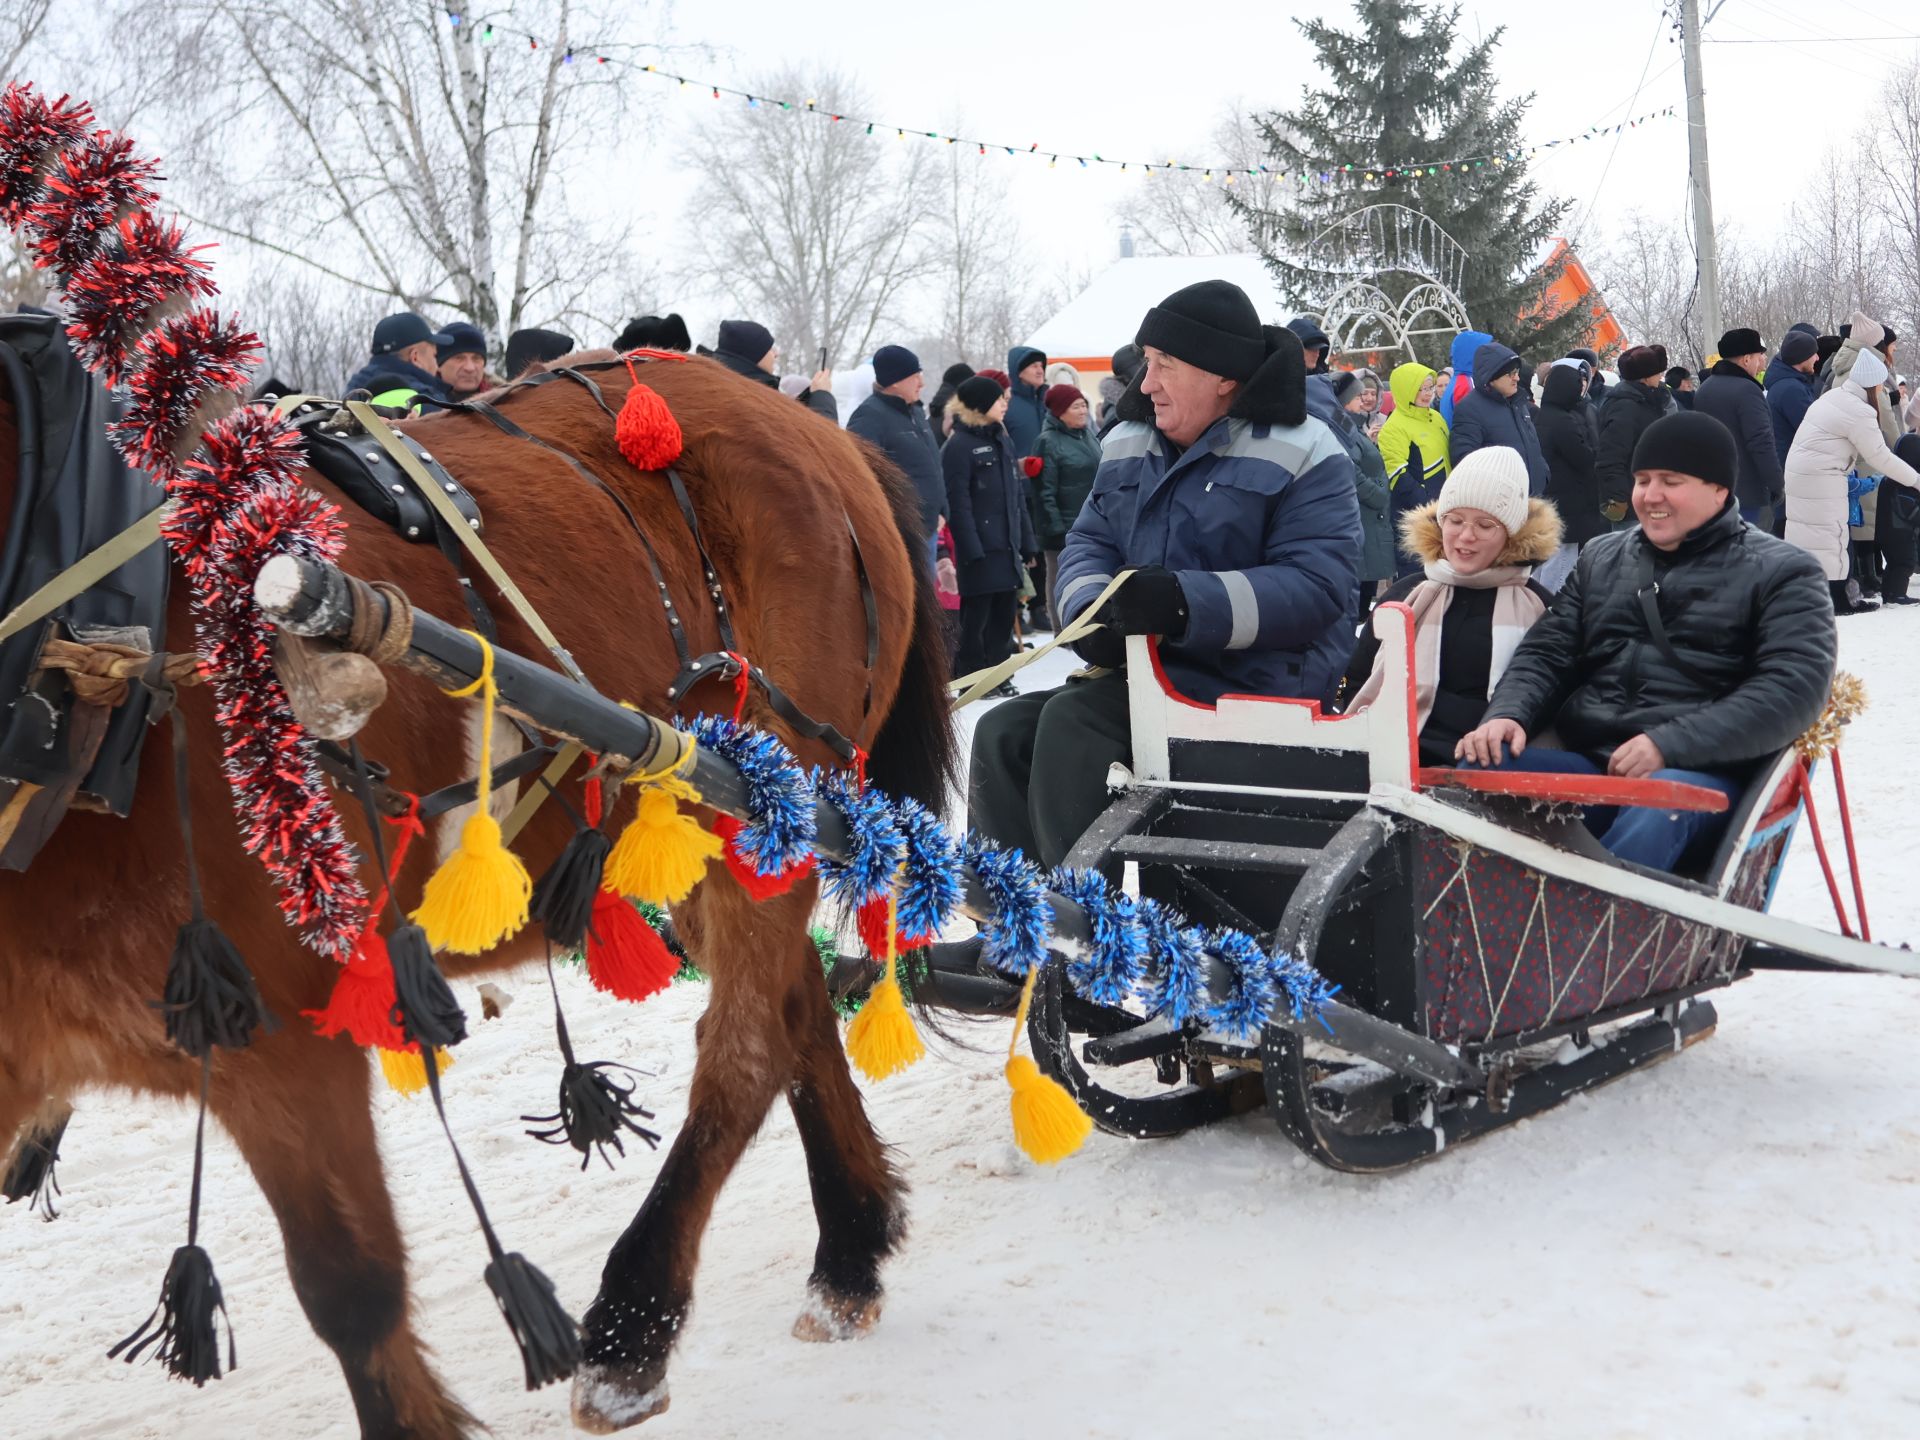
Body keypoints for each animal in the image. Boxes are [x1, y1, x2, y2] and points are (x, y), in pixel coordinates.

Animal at [0, 355, 960, 1436]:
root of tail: (822, 431)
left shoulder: (285, 1039)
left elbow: (351, 1289)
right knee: (795, 1010)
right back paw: (849, 1254)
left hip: (758, 807)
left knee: (747, 1048)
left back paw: (636, 1321)